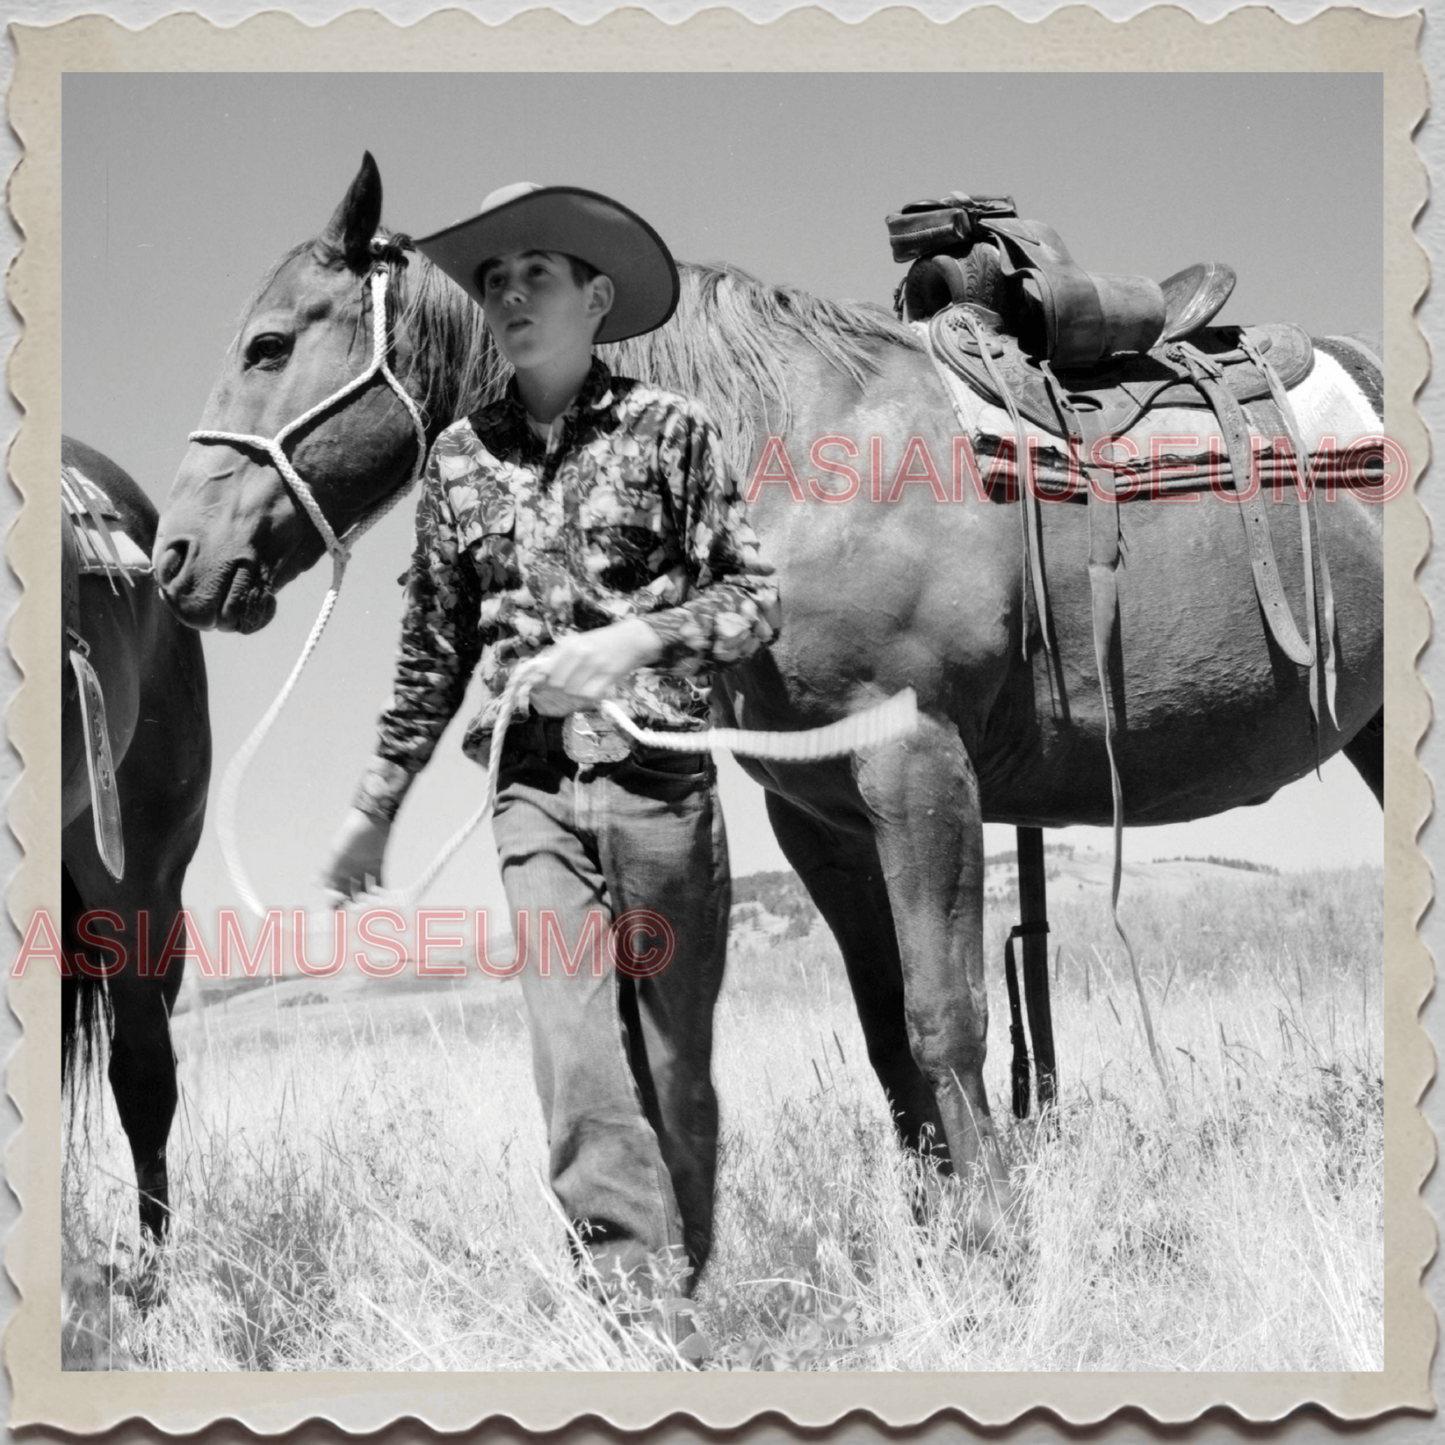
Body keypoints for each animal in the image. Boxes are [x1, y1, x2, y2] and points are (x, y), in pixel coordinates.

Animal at [152, 158, 1381, 1242]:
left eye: (269, 343)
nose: (175, 557)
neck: (791, 449)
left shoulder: (919, 768)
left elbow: (946, 1018)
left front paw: (996, 1232)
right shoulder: (818, 812)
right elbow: (886, 1034)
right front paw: (938, 1241)